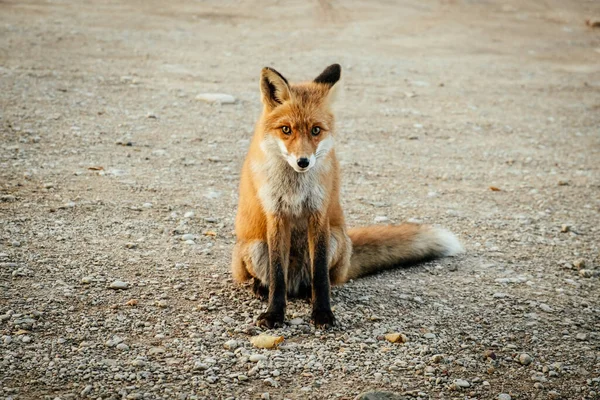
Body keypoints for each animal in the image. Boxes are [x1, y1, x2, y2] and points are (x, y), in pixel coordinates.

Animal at [231, 65, 464, 328]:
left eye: (316, 130)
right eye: (286, 130)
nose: (303, 162)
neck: (296, 187)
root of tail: (296, 285)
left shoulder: (319, 214)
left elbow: (320, 274)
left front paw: (323, 313)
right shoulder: (276, 214)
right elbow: (277, 276)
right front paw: (274, 314)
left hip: (336, 239)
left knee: (321, 279)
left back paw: (308, 291)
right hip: (254, 247)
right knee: (270, 278)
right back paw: (261, 287)